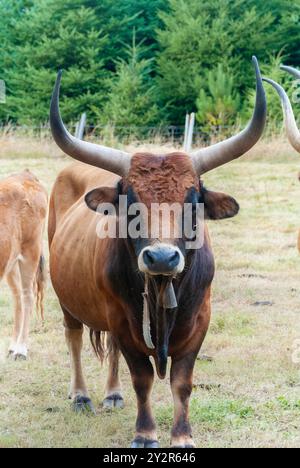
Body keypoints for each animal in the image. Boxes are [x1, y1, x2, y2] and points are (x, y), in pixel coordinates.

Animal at [49, 56, 268, 448]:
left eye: (193, 200)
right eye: (130, 201)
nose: (162, 258)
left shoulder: (199, 322)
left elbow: (182, 383)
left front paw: (181, 435)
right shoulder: (122, 320)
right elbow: (143, 379)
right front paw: (145, 433)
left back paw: (112, 393)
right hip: (67, 301)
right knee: (73, 338)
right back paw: (81, 396)